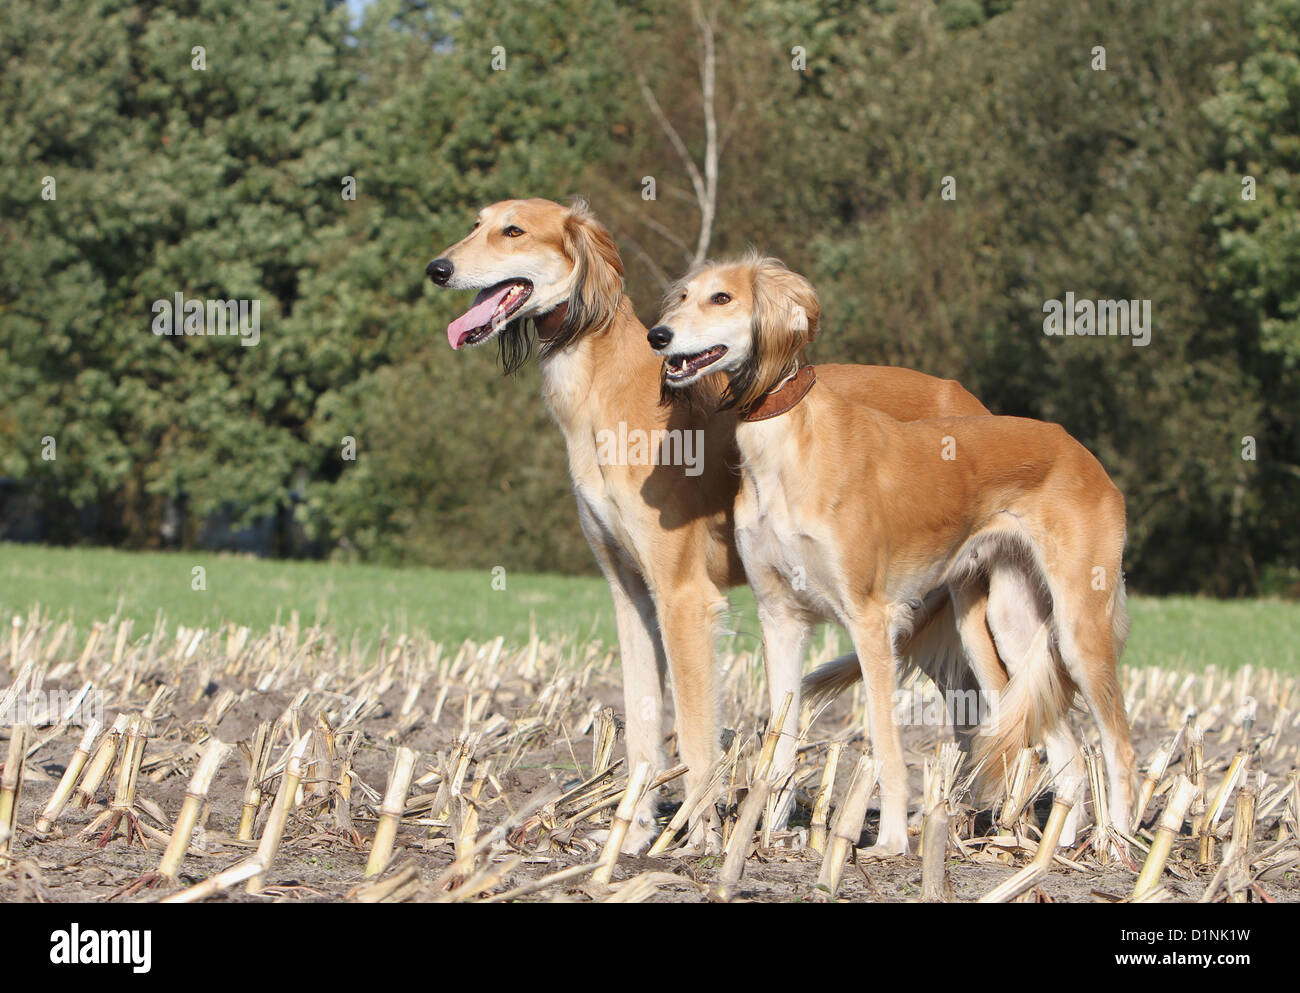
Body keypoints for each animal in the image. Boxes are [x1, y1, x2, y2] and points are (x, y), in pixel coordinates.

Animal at [428, 201, 993, 852]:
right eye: (477, 223)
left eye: (513, 230)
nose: (437, 269)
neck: (607, 388)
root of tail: (975, 403)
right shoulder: (630, 594)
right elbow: (642, 725)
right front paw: (632, 835)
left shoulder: (683, 597)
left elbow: (697, 735)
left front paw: (697, 838)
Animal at [655, 252, 1133, 847]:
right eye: (681, 297)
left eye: (721, 298)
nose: (658, 336)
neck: (789, 443)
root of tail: (1081, 451)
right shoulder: (780, 617)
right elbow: (780, 740)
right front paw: (766, 836)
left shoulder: (870, 619)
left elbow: (884, 742)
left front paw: (890, 842)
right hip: (1006, 624)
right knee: (1065, 751)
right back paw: (1054, 852)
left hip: (1078, 626)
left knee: (1118, 746)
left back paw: (1117, 846)